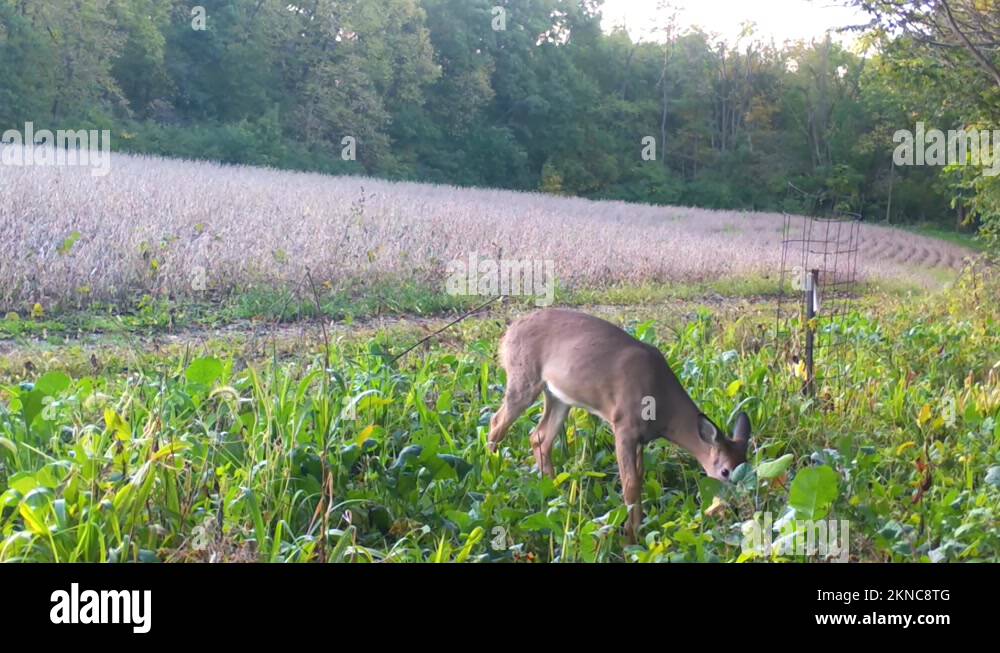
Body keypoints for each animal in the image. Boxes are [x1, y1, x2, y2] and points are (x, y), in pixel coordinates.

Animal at [487, 308, 752, 543]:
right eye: (725, 471)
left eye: (746, 466)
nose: (737, 507)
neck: (663, 407)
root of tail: (507, 334)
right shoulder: (624, 425)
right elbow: (630, 483)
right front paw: (630, 537)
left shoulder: (642, 438)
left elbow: (640, 478)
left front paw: (637, 529)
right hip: (523, 379)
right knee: (497, 422)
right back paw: (492, 475)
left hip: (559, 396)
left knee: (539, 437)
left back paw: (557, 495)